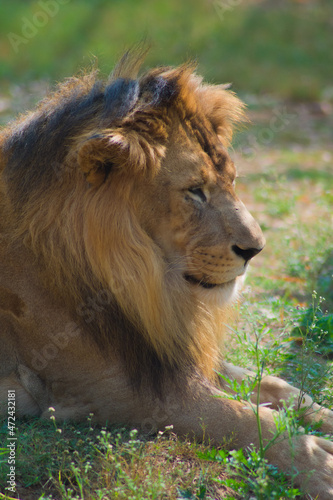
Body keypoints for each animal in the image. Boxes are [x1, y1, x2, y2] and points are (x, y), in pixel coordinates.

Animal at [0, 49, 330, 496]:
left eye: (232, 180)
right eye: (194, 191)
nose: (256, 249)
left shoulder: (160, 350)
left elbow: (280, 387)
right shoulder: (116, 391)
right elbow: (245, 417)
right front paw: (321, 467)